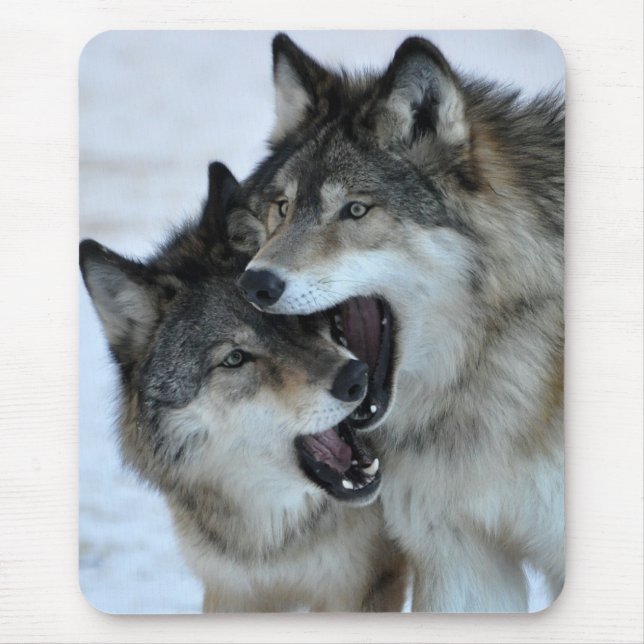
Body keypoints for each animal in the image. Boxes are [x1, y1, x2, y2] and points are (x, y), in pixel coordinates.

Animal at [79, 161, 406, 612]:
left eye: (295, 317)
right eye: (234, 358)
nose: (355, 378)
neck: (274, 538)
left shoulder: (364, 587)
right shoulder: (231, 589)